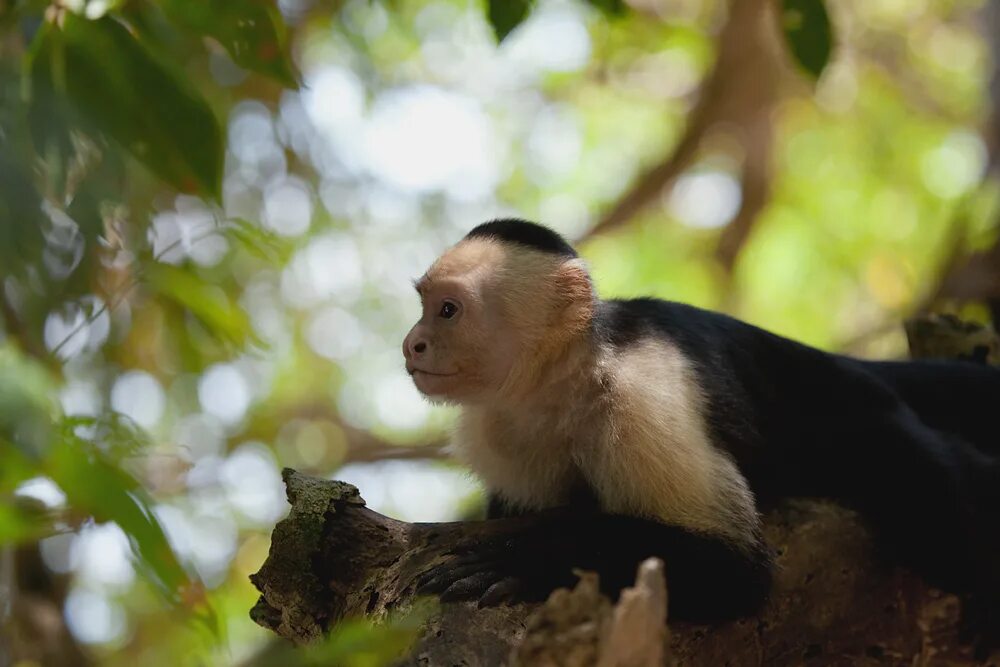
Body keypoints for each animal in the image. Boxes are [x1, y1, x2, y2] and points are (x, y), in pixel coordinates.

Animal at [400, 219, 1000, 652]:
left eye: (448, 311)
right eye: (424, 307)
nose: (412, 343)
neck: (566, 381)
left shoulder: (643, 399)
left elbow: (735, 571)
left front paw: (530, 558)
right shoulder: (501, 429)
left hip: (861, 412)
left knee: (927, 501)